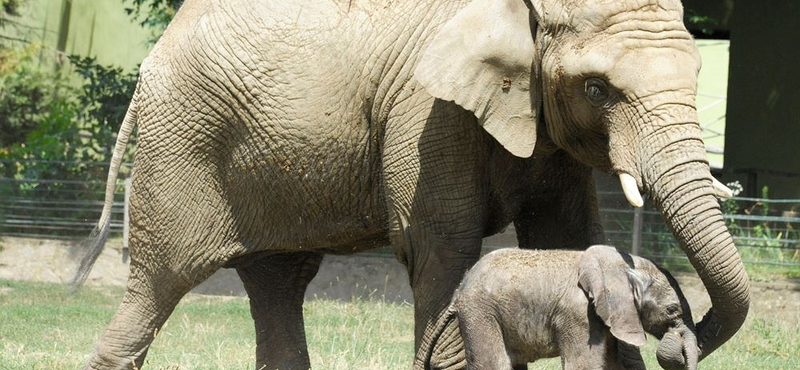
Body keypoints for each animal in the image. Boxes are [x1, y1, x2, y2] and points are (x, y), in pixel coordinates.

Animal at [428, 246, 696, 370]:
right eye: (672, 310)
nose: (674, 337)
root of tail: (460, 288)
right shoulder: (580, 316)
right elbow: (583, 365)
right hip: (480, 312)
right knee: (493, 363)